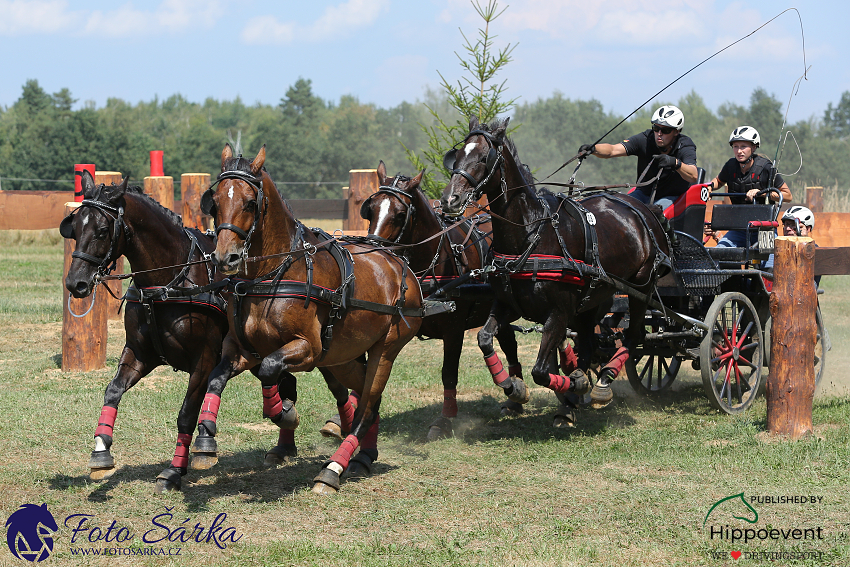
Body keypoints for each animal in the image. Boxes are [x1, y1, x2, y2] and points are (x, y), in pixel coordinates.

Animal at [60, 174, 232, 492]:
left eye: (103, 230)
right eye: (74, 228)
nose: (75, 283)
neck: (168, 282)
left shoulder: (203, 359)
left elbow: (186, 414)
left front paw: (175, 470)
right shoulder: (140, 353)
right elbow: (113, 391)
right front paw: (101, 452)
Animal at [198, 144, 424, 494]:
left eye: (250, 202)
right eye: (217, 201)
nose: (226, 258)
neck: (271, 274)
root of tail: (400, 264)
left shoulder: (308, 349)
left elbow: (270, 370)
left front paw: (285, 415)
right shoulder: (242, 349)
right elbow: (217, 378)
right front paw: (205, 440)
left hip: (385, 350)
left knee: (368, 406)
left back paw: (333, 468)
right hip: (343, 358)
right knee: (364, 399)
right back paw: (363, 455)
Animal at [354, 160, 520, 440]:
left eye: (400, 214)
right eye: (370, 209)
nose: (373, 251)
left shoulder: (454, 329)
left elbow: (448, 373)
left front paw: (444, 420)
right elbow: (365, 373)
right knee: (509, 343)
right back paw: (515, 395)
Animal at [438, 116, 668, 426]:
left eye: (484, 157)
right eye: (458, 154)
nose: (450, 200)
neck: (530, 234)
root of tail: (644, 208)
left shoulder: (558, 312)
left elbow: (541, 369)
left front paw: (575, 385)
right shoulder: (508, 304)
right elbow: (485, 339)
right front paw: (514, 388)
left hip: (641, 287)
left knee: (633, 336)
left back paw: (602, 383)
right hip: (596, 296)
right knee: (588, 340)